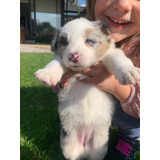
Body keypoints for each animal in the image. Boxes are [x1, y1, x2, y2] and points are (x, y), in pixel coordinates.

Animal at [34, 17, 139, 160]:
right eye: (64, 42)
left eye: (89, 41)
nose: (73, 56)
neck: (83, 69)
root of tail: (84, 145)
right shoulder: (63, 59)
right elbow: (57, 61)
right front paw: (46, 74)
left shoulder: (110, 54)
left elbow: (118, 59)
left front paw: (129, 71)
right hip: (69, 148)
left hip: (98, 149)